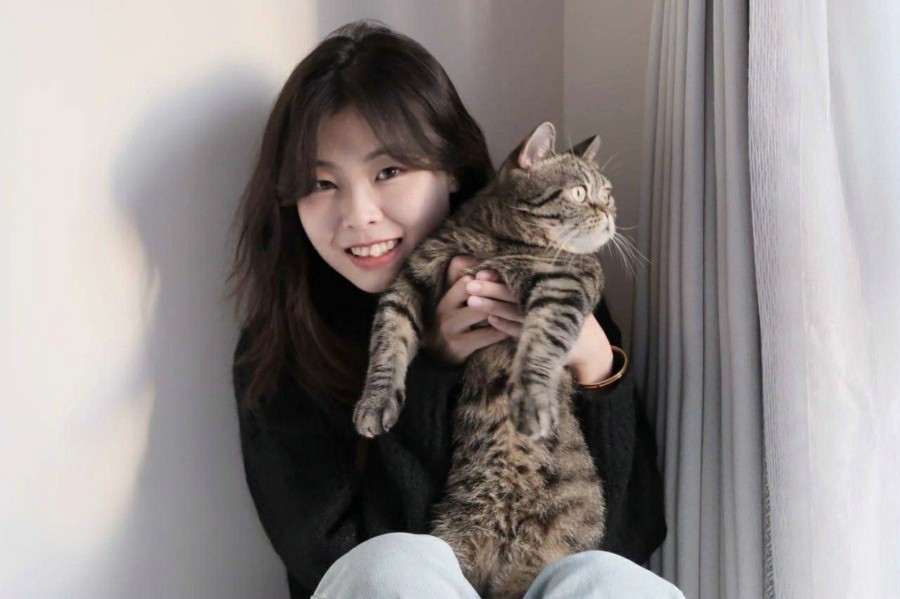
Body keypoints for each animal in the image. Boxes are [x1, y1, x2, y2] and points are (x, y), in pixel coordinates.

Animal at [353, 121, 617, 598]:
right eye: (579, 193)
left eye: (608, 194)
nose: (610, 213)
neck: (491, 239)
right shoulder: (409, 281)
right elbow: (387, 341)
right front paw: (375, 401)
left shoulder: (568, 282)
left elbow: (543, 341)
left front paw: (531, 400)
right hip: (453, 541)